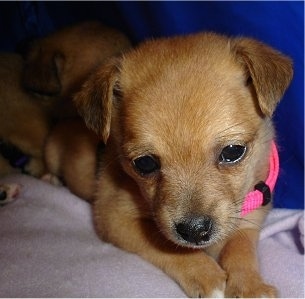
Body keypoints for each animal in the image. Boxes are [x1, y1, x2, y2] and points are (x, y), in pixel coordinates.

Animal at [45, 32, 292, 298]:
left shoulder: (250, 216)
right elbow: (164, 242)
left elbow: (240, 248)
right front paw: (207, 276)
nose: (195, 230)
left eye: (233, 151)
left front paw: (250, 285)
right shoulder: (114, 217)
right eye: (144, 163)